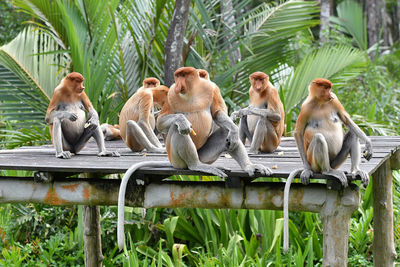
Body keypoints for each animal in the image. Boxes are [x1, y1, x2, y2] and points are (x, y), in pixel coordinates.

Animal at [115, 67, 272, 251]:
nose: (178, 84)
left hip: (205, 154)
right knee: (178, 131)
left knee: (224, 134)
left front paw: (233, 129)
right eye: (177, 76)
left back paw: (248, 165)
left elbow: (218, 113)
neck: (191, 92)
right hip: (176, 157)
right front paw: (182, 120)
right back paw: (195, 163)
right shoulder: (171, 95)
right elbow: (163, 121)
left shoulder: (212, 89)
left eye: (184, 75)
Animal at [282, 78, 374, 253]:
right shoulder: (306, 107)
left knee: (351, 134)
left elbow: (346, 120)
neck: (320, 103)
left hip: (338, 160)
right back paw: (328, 171)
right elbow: (298, 132)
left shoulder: (335, 102)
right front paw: (306, 170)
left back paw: (356, 171)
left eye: (331, 89)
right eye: (326, 88)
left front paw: (369, 144)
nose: (331, 93)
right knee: (318, 138)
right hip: (314, 160)